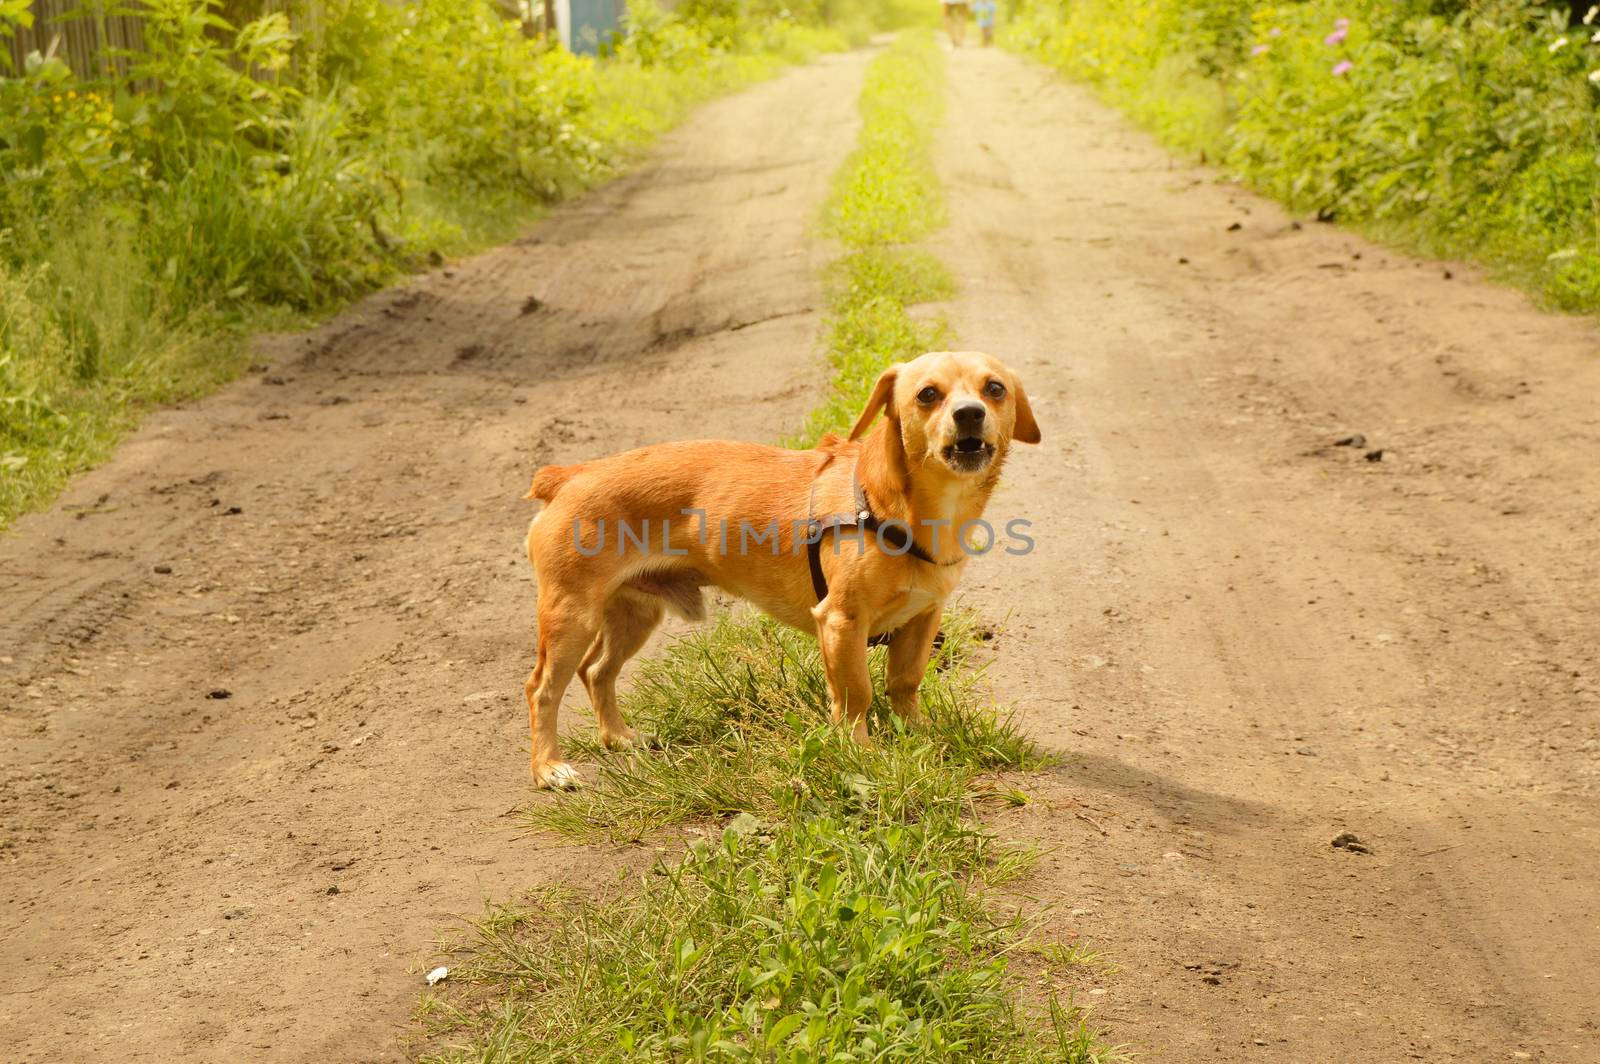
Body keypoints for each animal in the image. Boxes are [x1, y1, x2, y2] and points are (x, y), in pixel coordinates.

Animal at [521, 350, 1036, 787]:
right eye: (928, 394)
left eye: (994, 388)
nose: (969, 413)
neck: (894, 505)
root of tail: (570, 475)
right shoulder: (841, 622)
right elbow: (856, 694)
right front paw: (860, 751)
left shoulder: (923, 617)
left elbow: (904, 684)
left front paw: (918, 734)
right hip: (571, 618)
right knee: (542, 689)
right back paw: (549, 768)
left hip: (635, 615)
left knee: (597, 671)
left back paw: (620, 738)